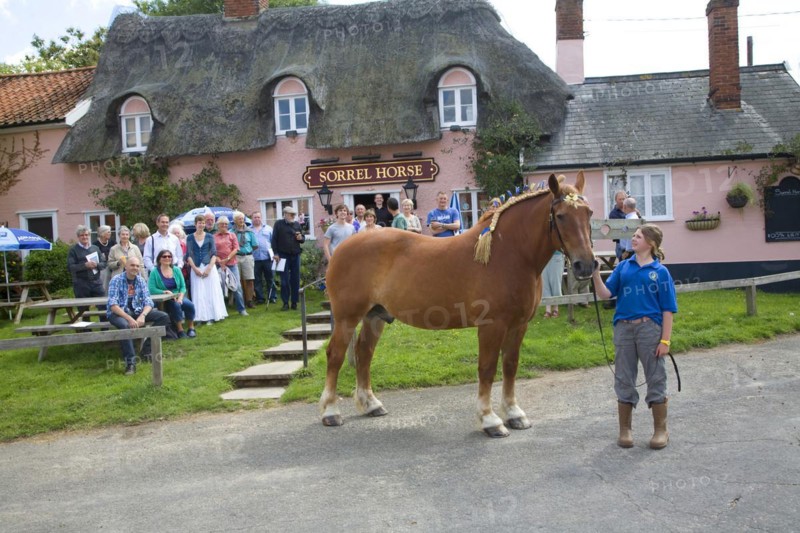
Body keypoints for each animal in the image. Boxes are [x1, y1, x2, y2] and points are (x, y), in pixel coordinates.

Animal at [320, 172, 596, 437]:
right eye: (560, 216)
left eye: (588, 213)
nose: (585, 265)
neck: (509, 253)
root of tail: (342, 247)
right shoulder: (492, 326)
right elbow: (487, 368)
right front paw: (490, 420)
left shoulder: (519, 325)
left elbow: (510, 366)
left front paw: (514, 413)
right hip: (347, 318)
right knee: (335, 355)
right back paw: (330, 411)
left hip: (374, 316)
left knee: (364, 353)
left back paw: (371, 404)